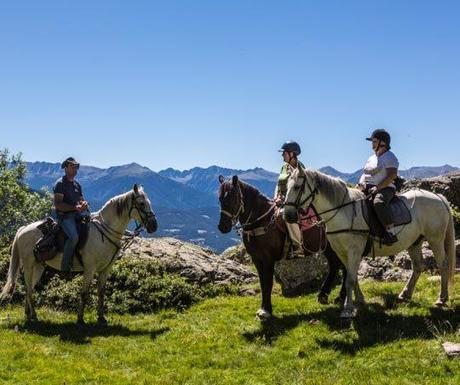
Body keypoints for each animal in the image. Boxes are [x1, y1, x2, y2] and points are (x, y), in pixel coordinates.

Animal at [0, 184, 157, 322]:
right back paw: (34, 316)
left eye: (149, 202)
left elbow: (101, 292)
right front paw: (80, 318)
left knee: (30, 288)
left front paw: (101, 317)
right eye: (141, 203)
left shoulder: (105, 269)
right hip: (28, 265)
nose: (153, 226)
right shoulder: (89, 268)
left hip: (39, 266)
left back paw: (29, 315)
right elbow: (84, 293)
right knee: (28, 288)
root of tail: (23, 229)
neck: (105, 232)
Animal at [218, 176, 344, 320]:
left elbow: (268, 283)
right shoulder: (257, 259)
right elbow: (262, 283)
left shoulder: (268, 260)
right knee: (335, 265)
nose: (222, 226)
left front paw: (266, 311)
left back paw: (339, 297)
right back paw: (327, 295)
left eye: (233, 198)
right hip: (328, 247)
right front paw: (264, 308)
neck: (262, 221)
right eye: (220, 199)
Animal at [284, 165, 456, 318]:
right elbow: (351, 277)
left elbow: (350, 279)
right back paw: (405, 294)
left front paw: (347, 309)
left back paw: (441, 299)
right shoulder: (342, 252)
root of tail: (439, 198)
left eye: (297, 187)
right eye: (286, 187)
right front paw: (359, 300)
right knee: (418, 266)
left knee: (443, 264)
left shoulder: (354, 251)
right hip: (415, 243)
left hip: (435, 240)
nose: (287, 215)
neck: (343, 212)